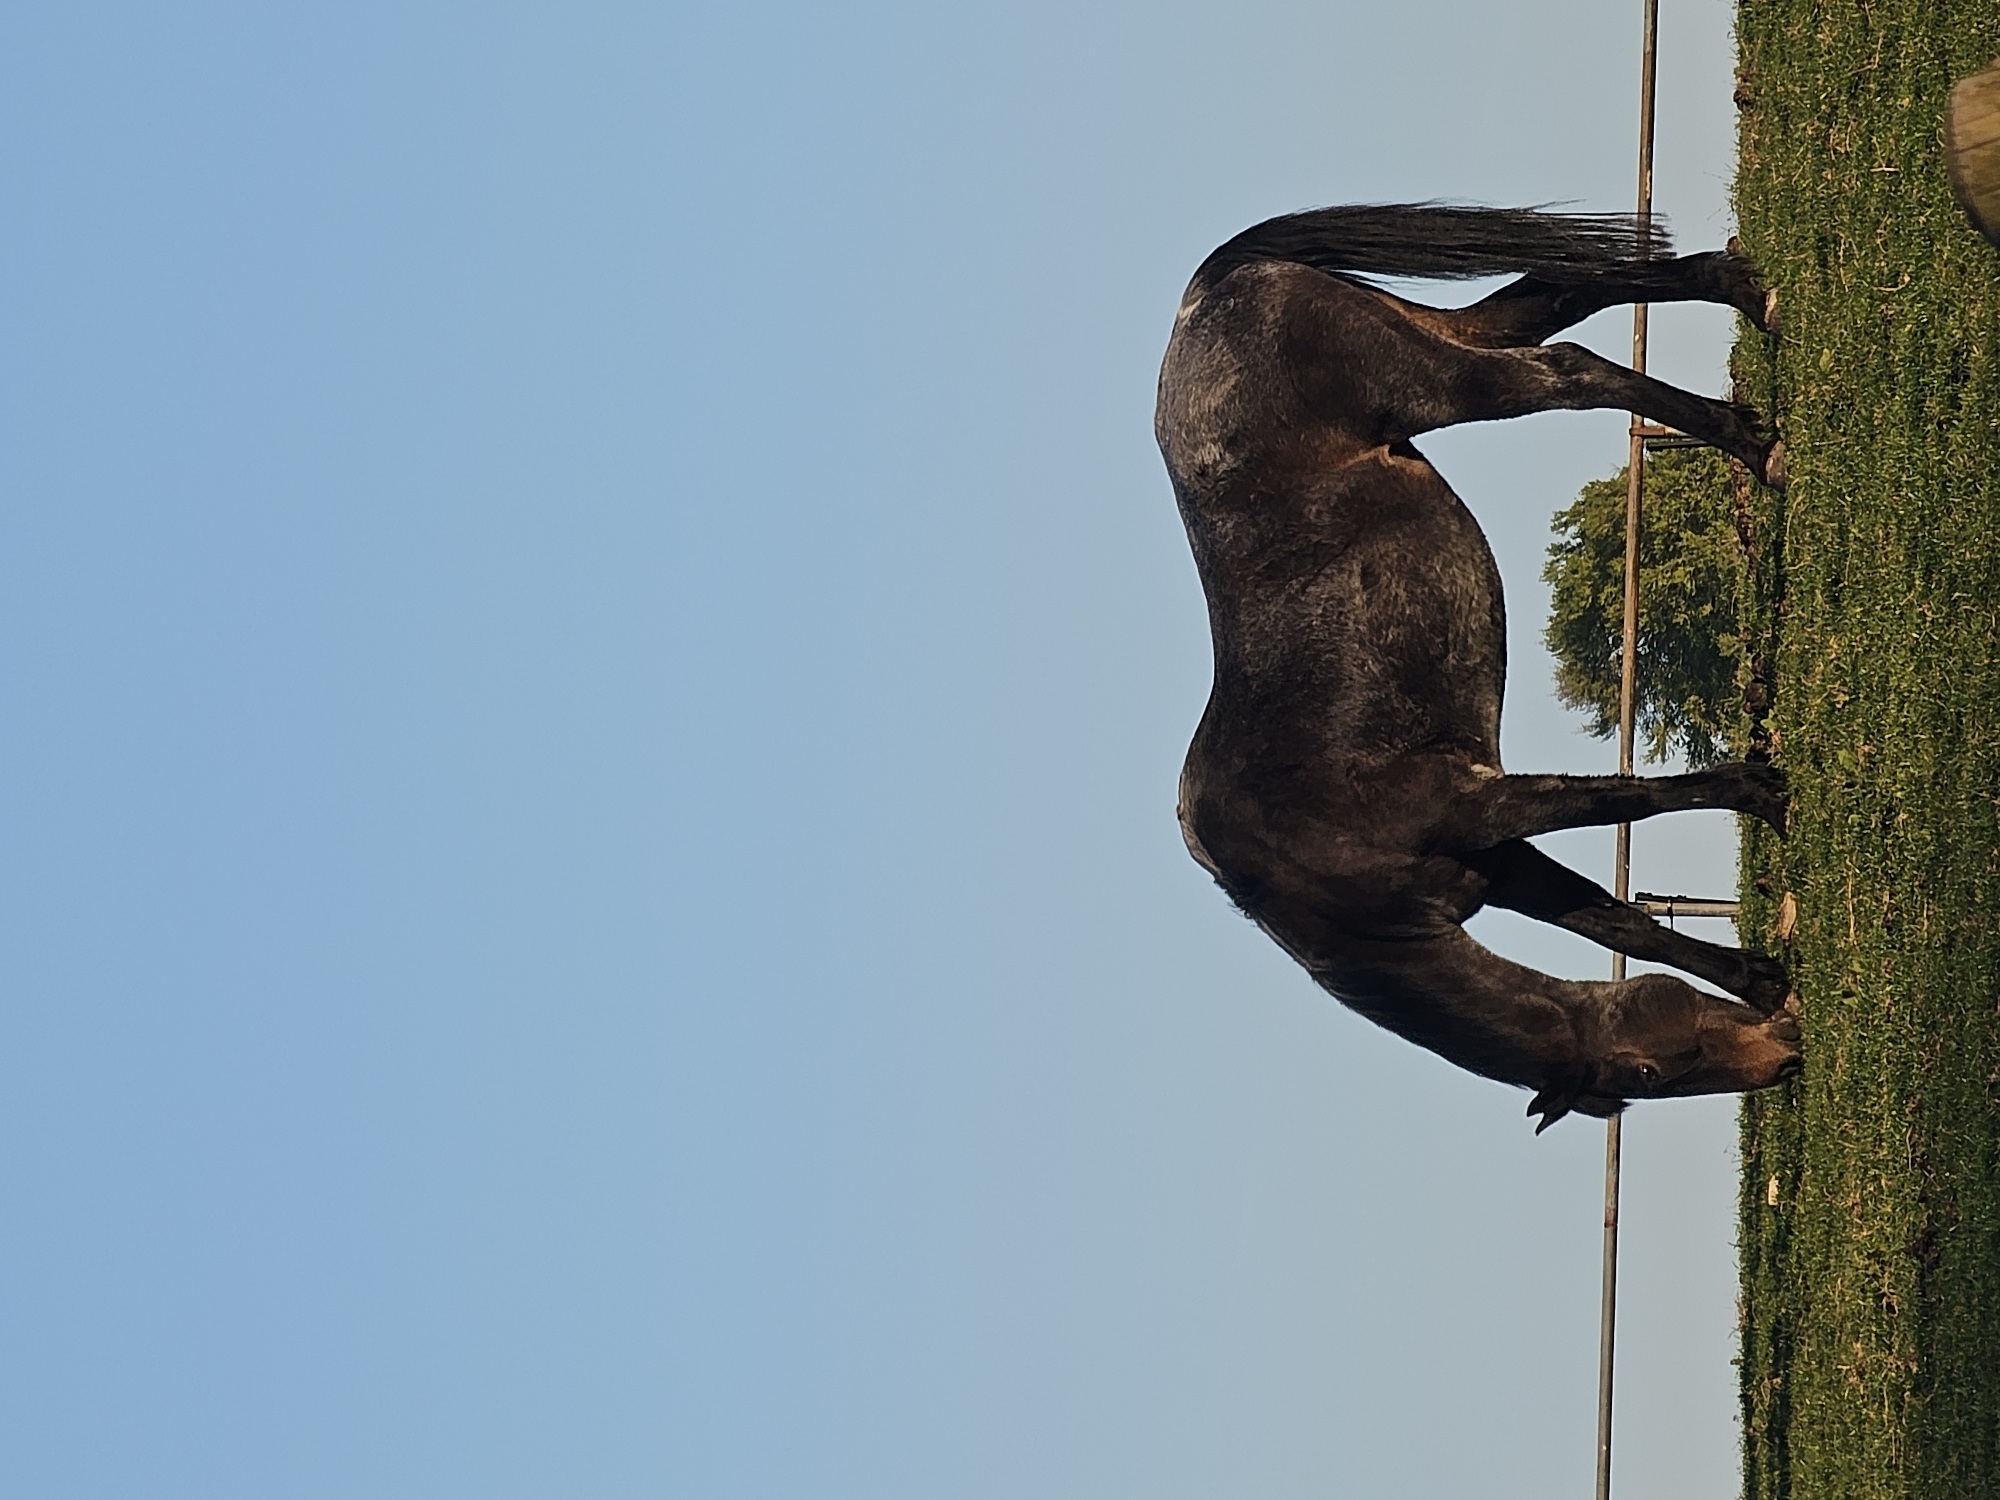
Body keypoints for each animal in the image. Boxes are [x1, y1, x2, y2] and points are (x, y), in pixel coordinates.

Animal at [1155, 204, 1801, 1132]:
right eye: (1646, 1076)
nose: (1783, 1056)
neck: (1314, 868)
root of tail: (1202, 299)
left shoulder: (1478, 805)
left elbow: (1625, 799)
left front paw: (1763, 791)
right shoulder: (1494, 861)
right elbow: (1617, 925)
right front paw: (1759, 976)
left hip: (1438, 381)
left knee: (1568, 368)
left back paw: (1752, 440)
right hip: (1447, 335)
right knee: (1559, 296)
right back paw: (1742, 291)